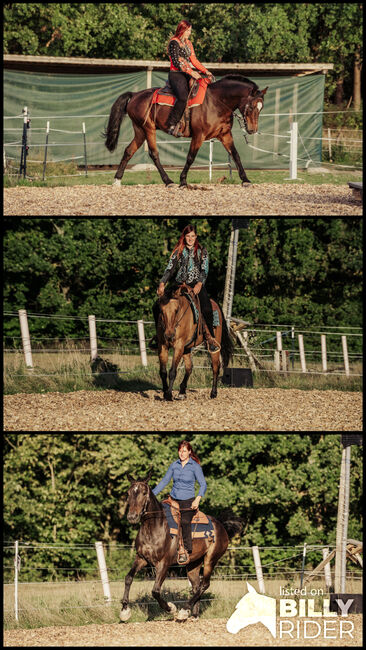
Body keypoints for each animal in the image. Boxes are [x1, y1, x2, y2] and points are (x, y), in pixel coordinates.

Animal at [104, 76, 268, 189]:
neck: (216, 102)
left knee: (128, 151)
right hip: (148, 129)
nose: (252, 129)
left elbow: (236, 155)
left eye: (261, 108)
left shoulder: (225, 135)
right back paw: (168, 181)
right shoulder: (199, 136)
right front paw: (183, 181)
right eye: (251, 106)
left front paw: (246, 180)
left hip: (140, 131)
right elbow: (190, 157)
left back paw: (117, 180)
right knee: (154, 154)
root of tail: (135, 94)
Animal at [122, 468, 243, 620]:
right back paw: (193, 614)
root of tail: (221, 525)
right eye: (128, 493)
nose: (132, 517)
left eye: (144, 493)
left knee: (204, 584)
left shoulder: (164, 563)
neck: (155, 528)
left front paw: (171, 608)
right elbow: (128, 578)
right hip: (193, 564)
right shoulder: (141, 558)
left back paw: (183, 610)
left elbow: (155, 591)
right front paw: (124, 610)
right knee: (196, 586)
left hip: (210, 559)